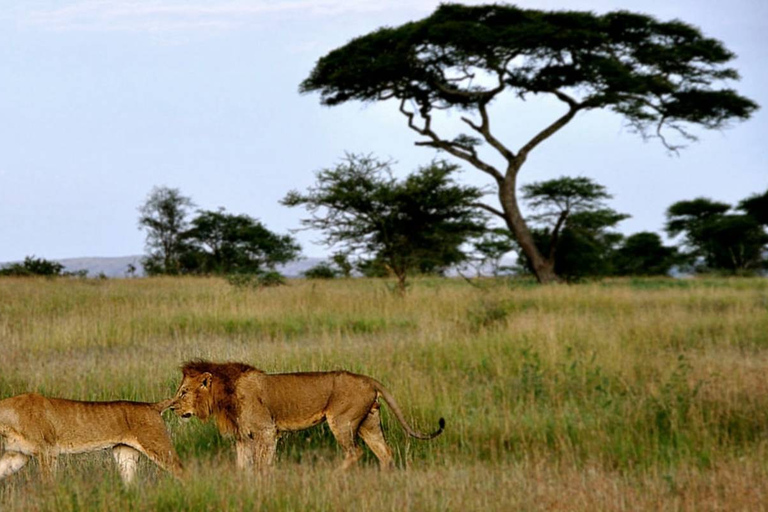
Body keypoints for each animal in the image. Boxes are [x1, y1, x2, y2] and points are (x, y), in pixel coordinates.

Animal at [0, 392, 183, 484]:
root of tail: (152, 405)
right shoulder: (17, 455)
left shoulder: (48, 452)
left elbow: (47, 482)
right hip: (125, 454)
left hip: (158, 447)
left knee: (183, 472)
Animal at [168, 362, 444, 470]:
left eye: (183, 392)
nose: (172, 408)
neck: (224, 394)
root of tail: (368, 379)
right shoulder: (243, 437)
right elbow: (243, 465)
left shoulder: (267, 431)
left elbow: (262, 464)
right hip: (369, 422)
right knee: (384, 452)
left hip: (341, 421)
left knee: (355, 452)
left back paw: (334, 476)